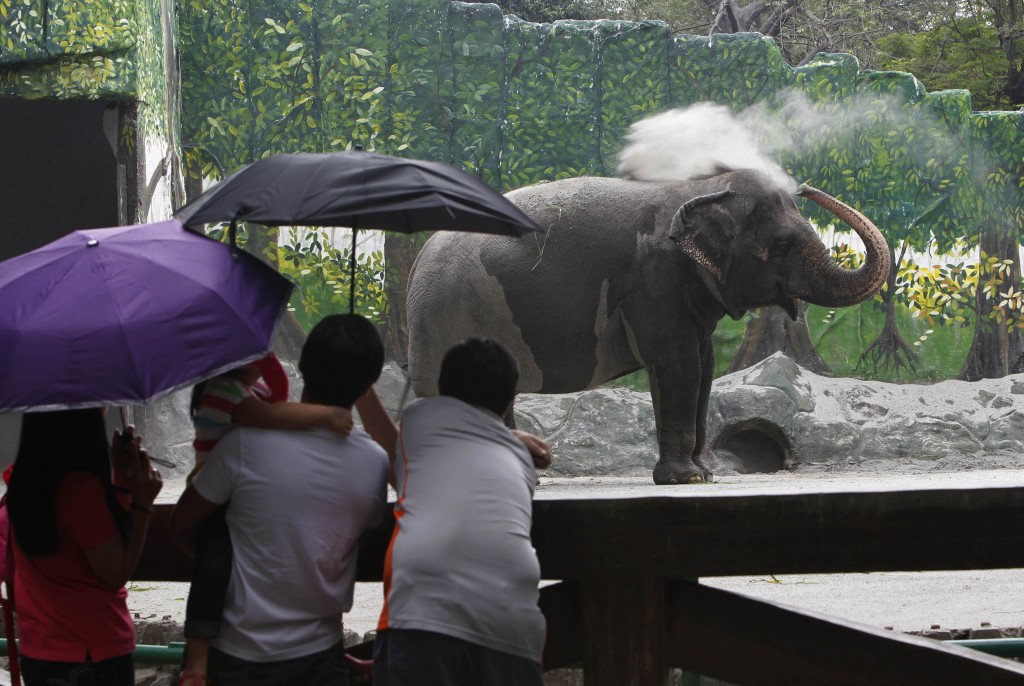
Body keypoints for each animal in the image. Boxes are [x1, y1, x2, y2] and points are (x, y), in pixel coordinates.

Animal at [403, 168, 884, 487]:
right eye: (781, 246)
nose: (806, 185)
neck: (704, 188)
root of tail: (417, 261)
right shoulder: (654, 281)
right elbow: (678, 365)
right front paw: (685, 479)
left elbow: (704, 367)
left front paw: (704, 475)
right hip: (444, 318)